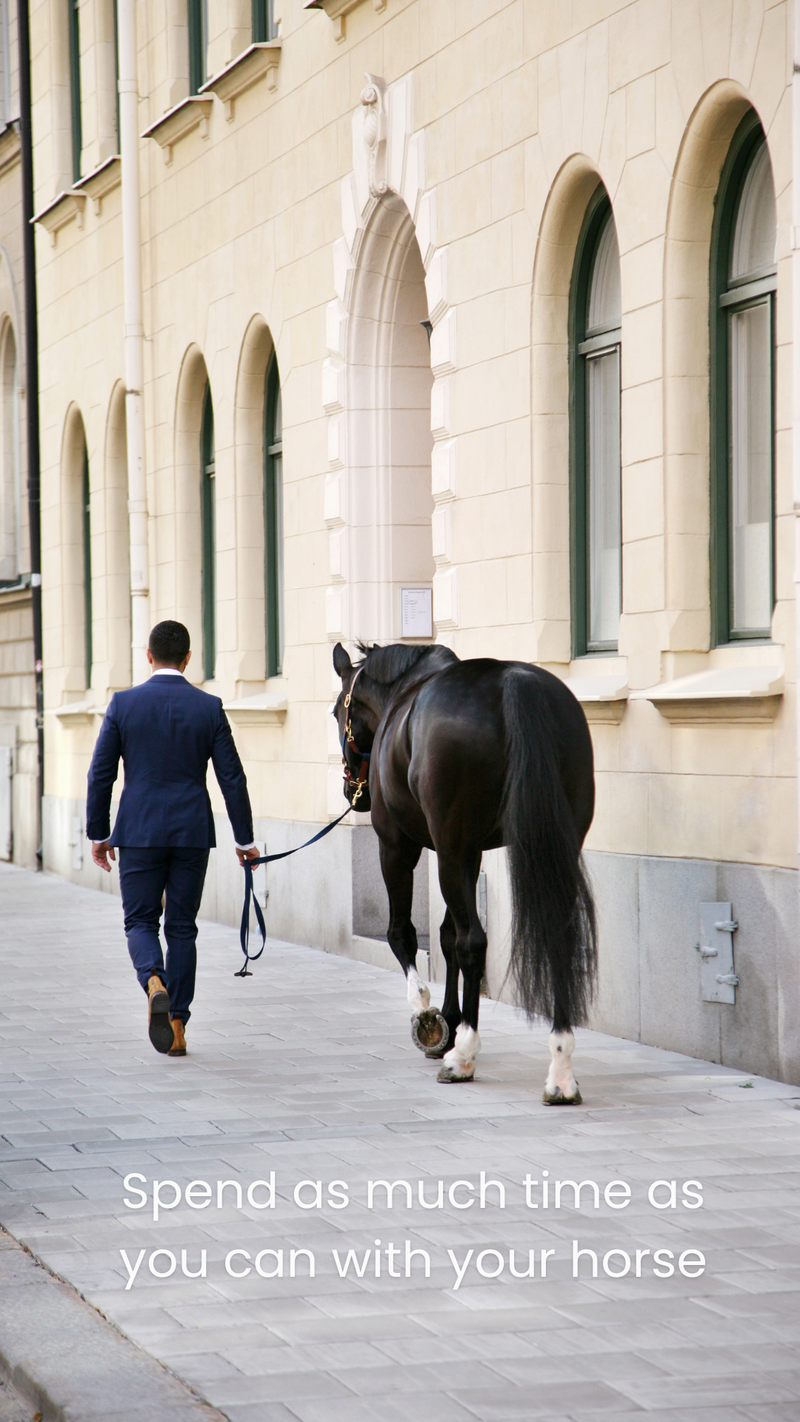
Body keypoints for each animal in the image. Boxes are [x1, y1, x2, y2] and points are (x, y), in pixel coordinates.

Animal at [332, 640, 597, 1099]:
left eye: (336, 712)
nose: (352, 790)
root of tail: (514, 682)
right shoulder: (468, 854)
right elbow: (446, 936)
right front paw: (451, 1022)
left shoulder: (403, 846)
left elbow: (405, 934)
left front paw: (429, 1017)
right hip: (549, 846)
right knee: (554, 937)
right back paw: (560, 1067)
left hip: (446, 850)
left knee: (474, 942)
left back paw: (465, 1056)